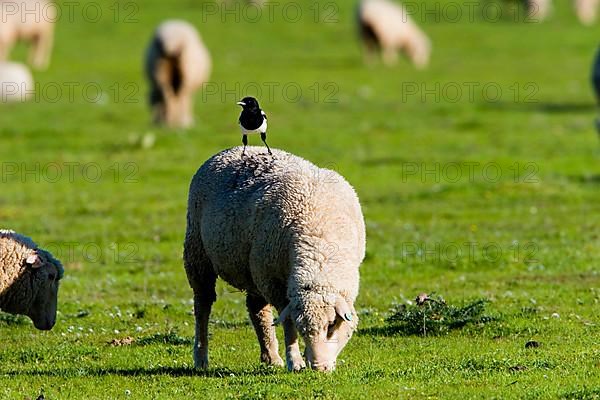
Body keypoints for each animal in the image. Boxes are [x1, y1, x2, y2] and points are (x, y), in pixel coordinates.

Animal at [184, 146, 366, 372]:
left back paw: (270, 356)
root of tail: (231, 150)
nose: (318, 367)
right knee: (203, 305)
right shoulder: (273, 283)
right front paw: (295, 361)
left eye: (332, 325)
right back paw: (201, 357)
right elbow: (287, 325)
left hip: (251, 269)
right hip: (198, 253)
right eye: (303, 329)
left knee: (256, 309)